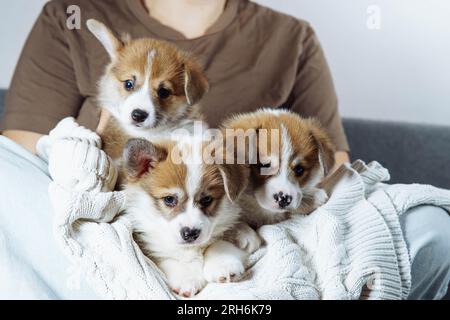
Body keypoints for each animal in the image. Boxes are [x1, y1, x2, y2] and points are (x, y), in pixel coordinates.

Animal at [121, 135, 250, 298]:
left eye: (206, 199)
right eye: (169, 199)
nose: (190, 233)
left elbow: (218, 243)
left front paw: (224, 265)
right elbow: (168, 256)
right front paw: (187, 278)